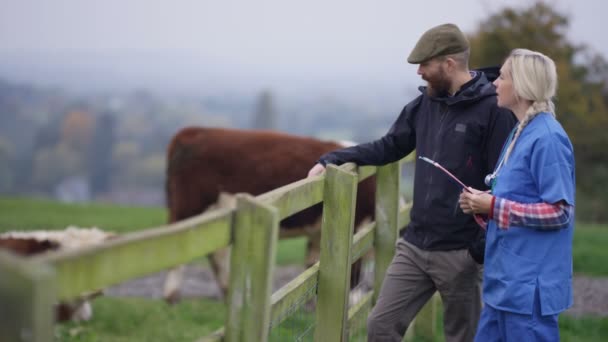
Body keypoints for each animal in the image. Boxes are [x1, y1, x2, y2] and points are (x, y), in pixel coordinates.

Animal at [164, 126, 378, 302]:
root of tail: (193, 130)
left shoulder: (318, 233)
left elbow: (311, 264)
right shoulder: (356, 223)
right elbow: (354, 266)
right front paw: (354, 300)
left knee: (217, 254)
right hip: (189, 208)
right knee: (179, 246)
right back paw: (172, 295)